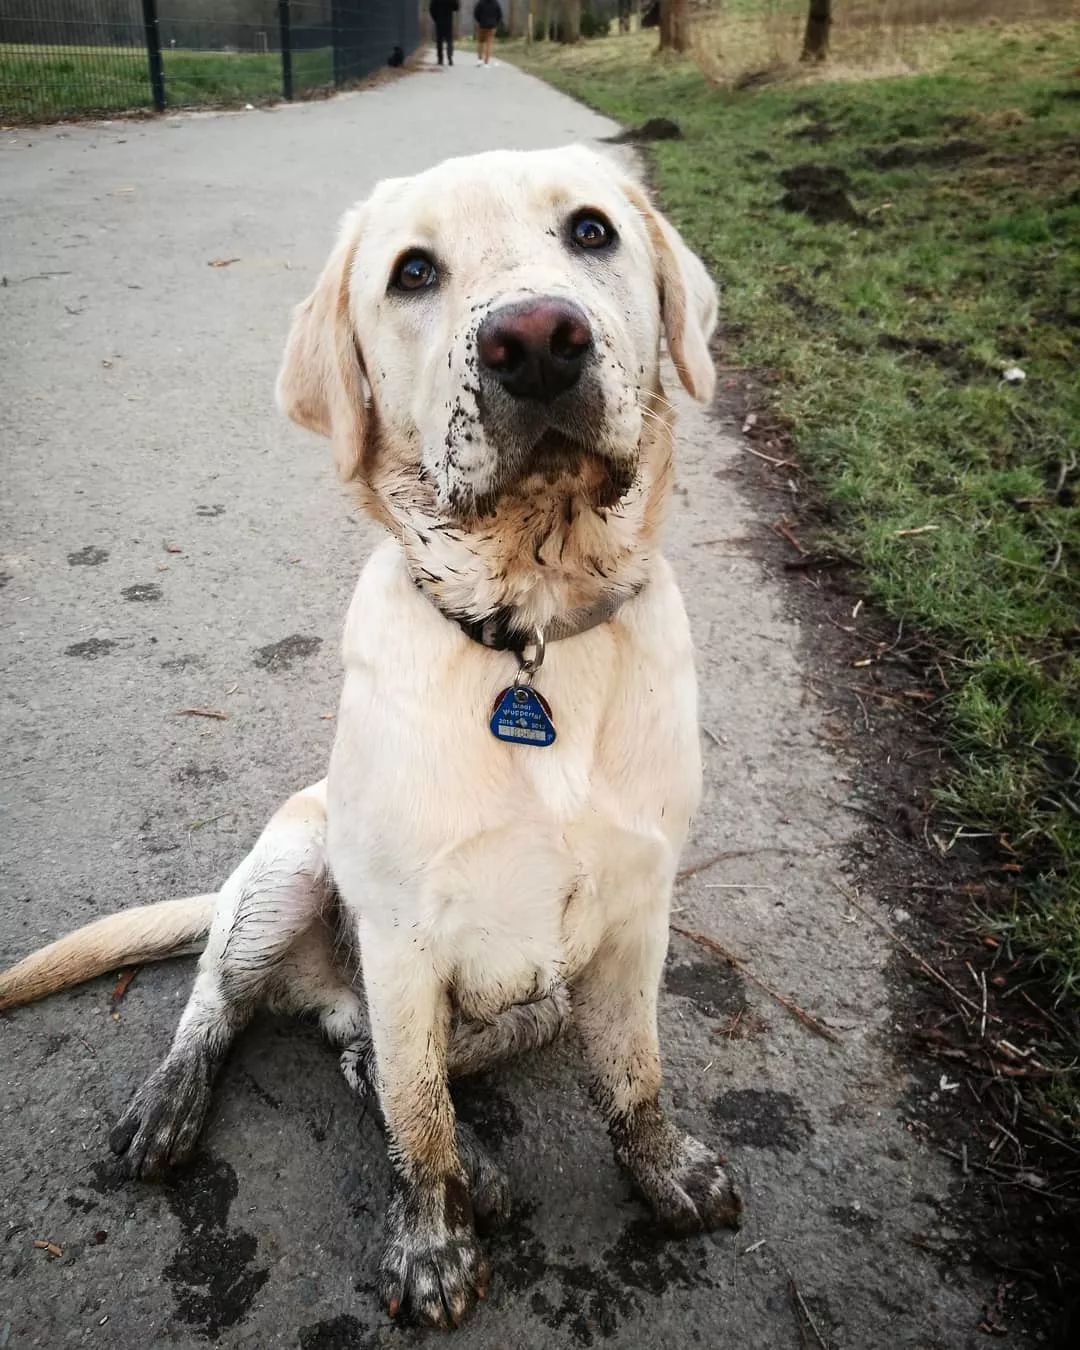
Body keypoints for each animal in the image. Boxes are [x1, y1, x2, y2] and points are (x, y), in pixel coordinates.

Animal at [0, 145, 745, 1328]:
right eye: (412, 272)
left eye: (591, 231)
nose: (539, 341)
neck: (530, 631)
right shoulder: (399, 932)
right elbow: (418, 1115)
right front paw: (432, 1244)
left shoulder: (638, 910)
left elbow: (634, 1075)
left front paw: (665, 1170)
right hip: (291, 870)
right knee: (237, 1009)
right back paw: (176, 1102)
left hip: (526, 1005)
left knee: (363, 1053)